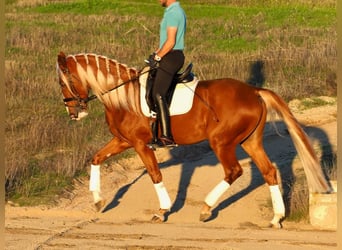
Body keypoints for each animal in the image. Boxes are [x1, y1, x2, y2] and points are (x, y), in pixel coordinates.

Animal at [56, 51, 332, 228]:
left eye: (62, 82)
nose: (73, 113)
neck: (125, 96)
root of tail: (254, 92)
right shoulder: (123, 141)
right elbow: (96, 159)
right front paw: (97, 200)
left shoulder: (140, 144)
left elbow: (155, 174)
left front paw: (162, 211)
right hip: (250, 141)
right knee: (269, 172)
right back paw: (276, 218)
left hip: (222, 142)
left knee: (233, 171)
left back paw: (206, 208)